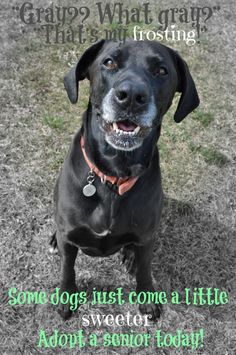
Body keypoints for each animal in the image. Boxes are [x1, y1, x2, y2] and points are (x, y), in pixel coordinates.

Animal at [51, 40, 199, 322]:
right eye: (109, 62)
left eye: (161, 70)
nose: (131, 95)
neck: (114, 174)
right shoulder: (69, 236)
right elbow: (67, 267)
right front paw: (66, 297)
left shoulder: (146, 237)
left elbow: (144, 269)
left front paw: (147, 298)